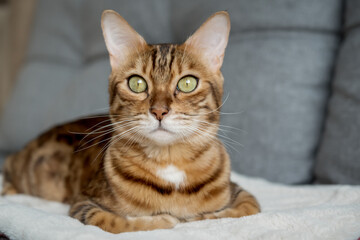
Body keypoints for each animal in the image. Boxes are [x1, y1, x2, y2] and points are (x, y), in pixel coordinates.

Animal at [0, 10, 260, 233]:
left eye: (187, 83)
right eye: (137, 83)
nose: (159, 111)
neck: (169, 162)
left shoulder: (244, 194)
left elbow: (244, 209)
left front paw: (195, 216)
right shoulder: (83, 203)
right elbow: (115, 221)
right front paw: (163, 219)